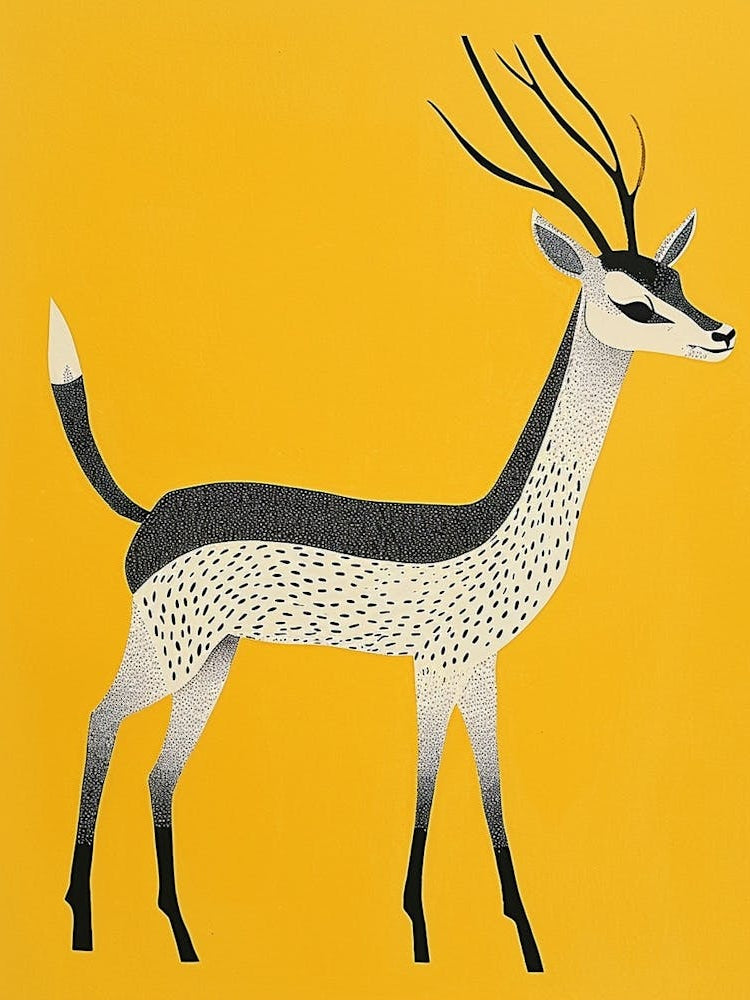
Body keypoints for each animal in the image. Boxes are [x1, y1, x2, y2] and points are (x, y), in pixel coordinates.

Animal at [54, 34, 734, 972]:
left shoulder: (482, 670)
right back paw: (84, 925)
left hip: (216, 654)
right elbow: (425, 787)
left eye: (676, 277)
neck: (495, 531)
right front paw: (417, 934)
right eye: (632, 300)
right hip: (168, 648)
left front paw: (528, 943)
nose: (722, 333)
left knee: (161, 768)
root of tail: (149, 512)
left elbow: (490, 793)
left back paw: (187, 940)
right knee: (96, 723)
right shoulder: (434, 667)